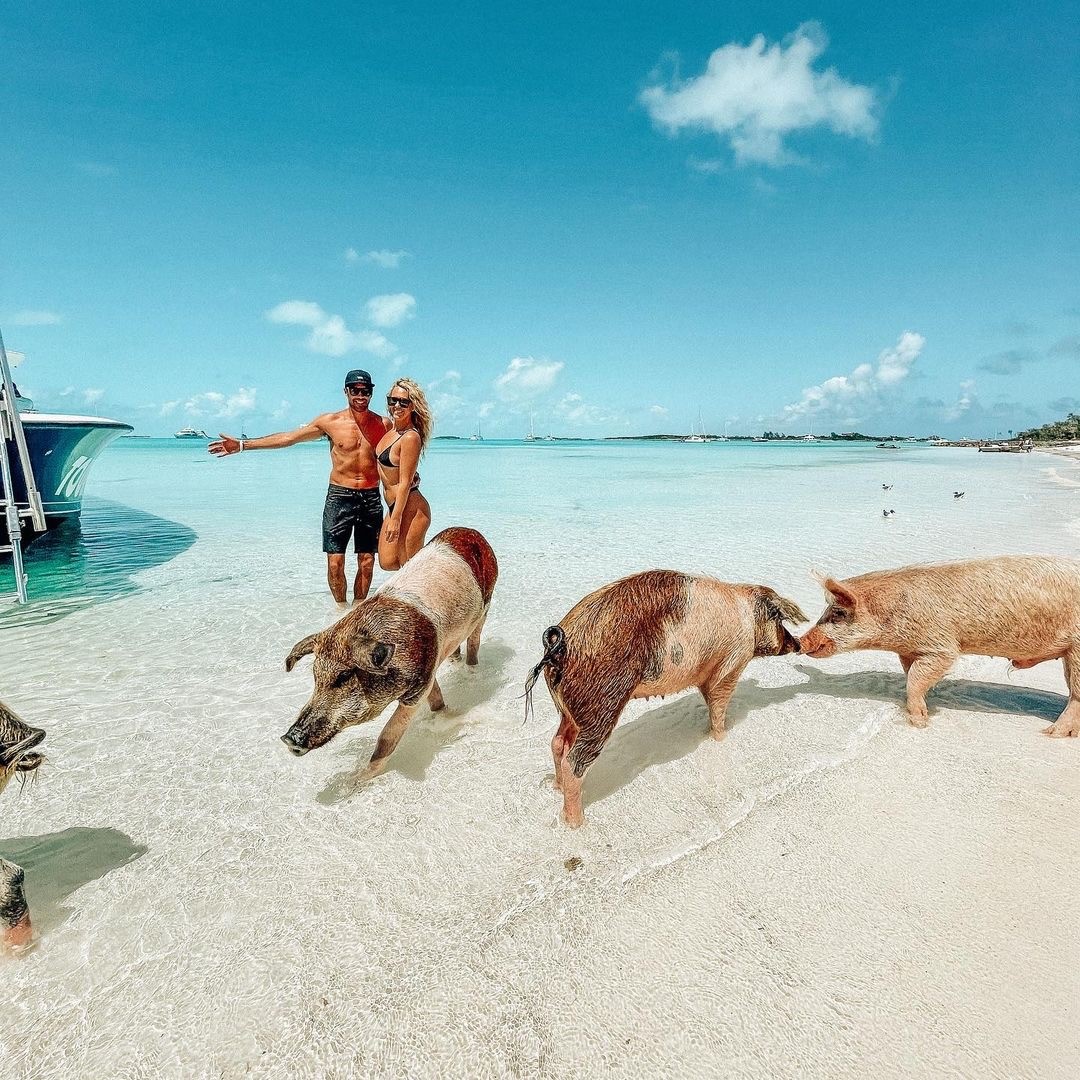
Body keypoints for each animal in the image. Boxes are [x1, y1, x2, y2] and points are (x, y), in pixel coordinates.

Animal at [281, 526, 497, 785]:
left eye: (343, 677)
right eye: (315, 677)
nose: (288, 738)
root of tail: (471, 531)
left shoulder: (417, 688)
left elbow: (387, 736)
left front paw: (355, 781)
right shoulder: (429, 670)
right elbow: (435, 698)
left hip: (486, 604)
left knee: (474, 640)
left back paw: (472, 671)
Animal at [526, 570, 807, 827]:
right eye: (779, 620)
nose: (798, 644)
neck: (749, 617)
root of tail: (560, 646)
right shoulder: (730, 665)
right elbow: (718, 707)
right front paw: (720, 737)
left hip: (571, 709)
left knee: (558, 743)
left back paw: (556, 788)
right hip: (602, 704)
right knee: (574, 762)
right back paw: (575, 823)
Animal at [799, 554, 1080, 736]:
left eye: (837, 613)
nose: (801, 641)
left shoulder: (941, 645)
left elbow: (917, 678)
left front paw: (919, 723)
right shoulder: (909, 649)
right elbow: (910, 675)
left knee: (1075, 695)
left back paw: (1050, 733)